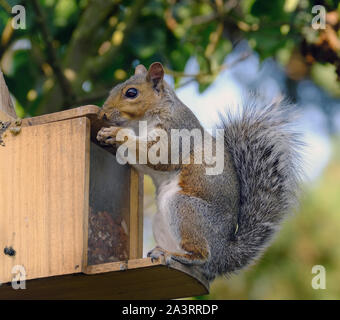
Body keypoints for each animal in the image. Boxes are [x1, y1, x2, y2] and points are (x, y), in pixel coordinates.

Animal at [97, 61, 302, 282]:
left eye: (131, 93)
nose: (103, 114)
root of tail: (222, 255)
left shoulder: (177, 132)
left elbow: (159, 155)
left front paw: (116, 133)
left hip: (185, 209)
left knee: (202, 255)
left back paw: (177, 255)